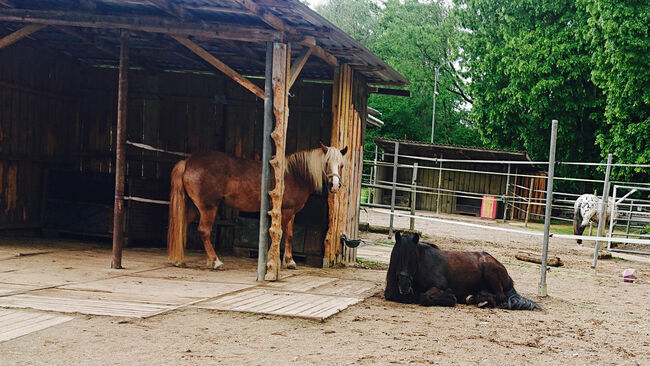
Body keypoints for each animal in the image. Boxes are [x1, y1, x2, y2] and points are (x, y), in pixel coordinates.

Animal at [168, 143, 350, 274]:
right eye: (326, 163)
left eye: (341, 165)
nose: (335, 186)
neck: (294, 174)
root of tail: (188, 162)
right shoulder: (285, 211)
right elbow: (279, 234)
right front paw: (274, 260)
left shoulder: (291, 212)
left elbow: (290, 235)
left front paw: (290, 261)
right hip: (208, 207)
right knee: (204, 231)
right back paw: (216, 261)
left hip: (192, 207)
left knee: (181, 226)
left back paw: (179, 259)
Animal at [384, 233, 536, 310]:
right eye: (397, 255)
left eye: (413, 257)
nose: (404, 285)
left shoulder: (438, 287)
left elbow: (425, 297)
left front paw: (450, 298)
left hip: (490, 272)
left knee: (500, 296)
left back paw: (480, 299)